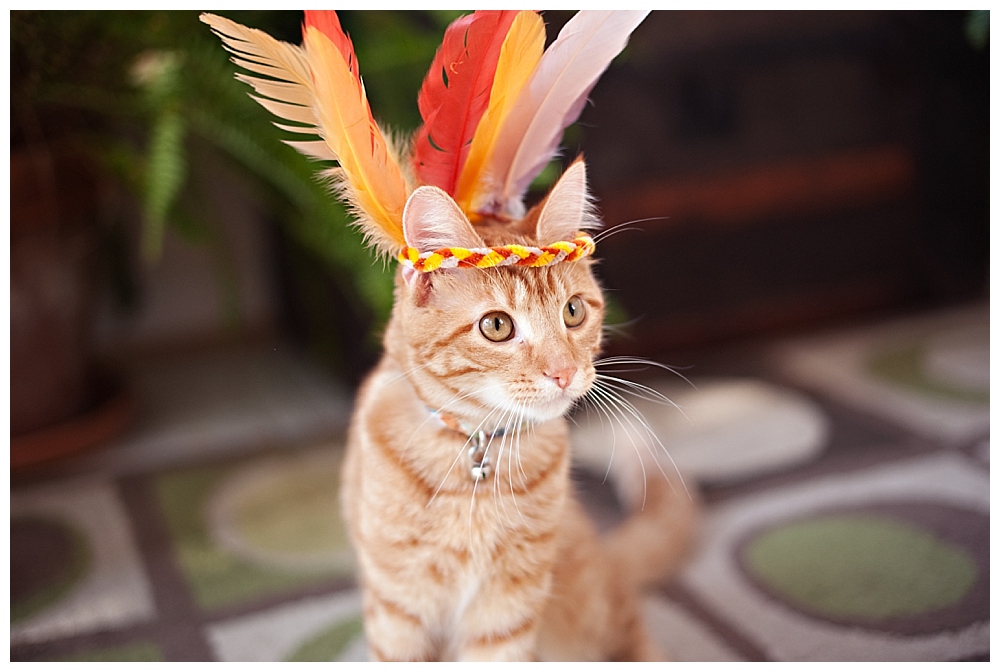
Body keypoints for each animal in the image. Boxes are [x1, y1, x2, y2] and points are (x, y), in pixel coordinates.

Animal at [342, 163, 696, 660]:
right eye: (497, 326)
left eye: (573, 311)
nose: (564, 372)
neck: (475, 453)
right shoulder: (398, 607)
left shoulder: (507, 607)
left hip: (589, 618)